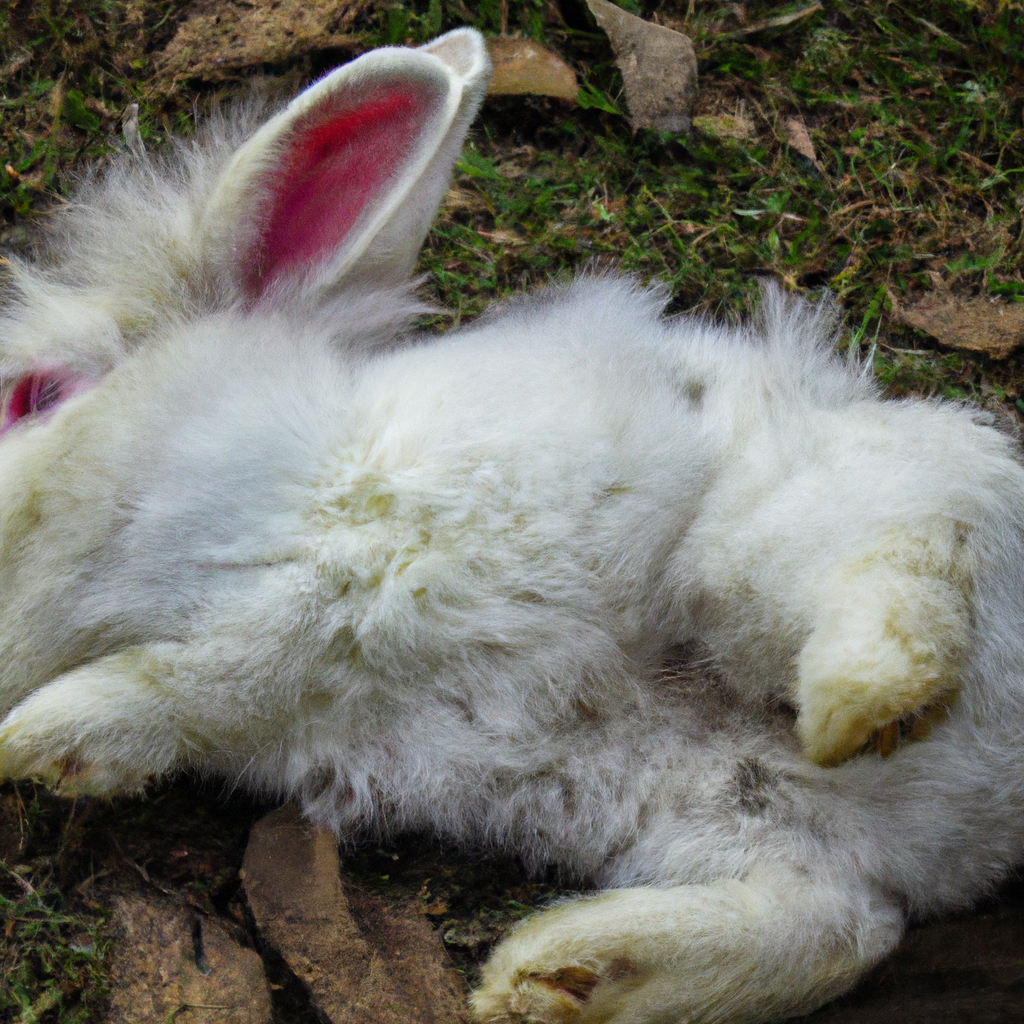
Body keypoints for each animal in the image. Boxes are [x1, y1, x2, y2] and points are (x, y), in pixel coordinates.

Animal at [2, 29, 1024, 1024]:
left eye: (31, 395)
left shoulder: (336, 586)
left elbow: (196, 675)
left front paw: (40, 738)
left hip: (769, 543)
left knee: (914, 557)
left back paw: (863, 703)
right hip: (736, 814)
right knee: (843, 932)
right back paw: (561, 976)